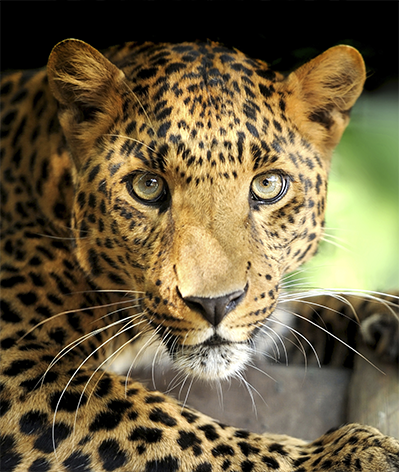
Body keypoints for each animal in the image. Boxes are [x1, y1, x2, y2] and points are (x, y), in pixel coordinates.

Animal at [0, 39, 399, 472]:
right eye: (147, 185)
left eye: (268, 184)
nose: (215, 305)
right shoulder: (21, 359)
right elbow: (169, 427)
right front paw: (349, 456)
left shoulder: (272, 312)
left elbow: (324, 303)